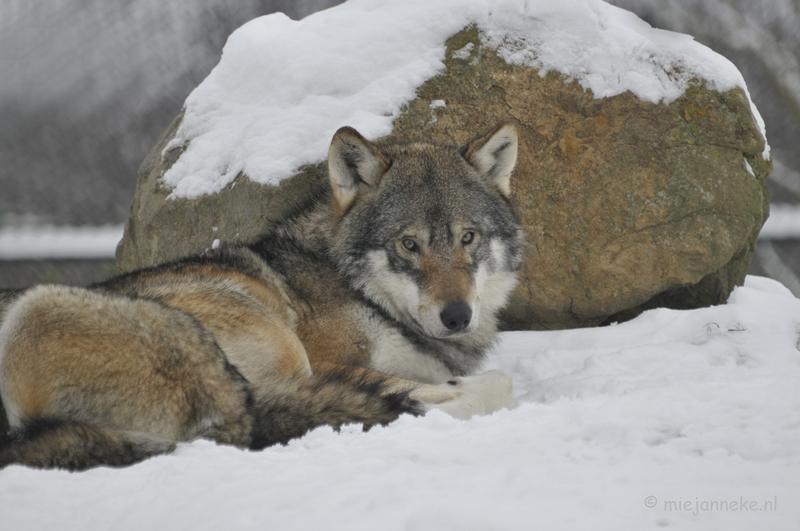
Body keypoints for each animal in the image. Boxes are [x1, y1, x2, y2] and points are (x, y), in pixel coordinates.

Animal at [0, 121, 528, 470]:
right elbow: (477, 383)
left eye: (468, 238)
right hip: (41, 309)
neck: (355, 287)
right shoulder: (323, 360)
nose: (457, 316)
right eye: (409, 244)